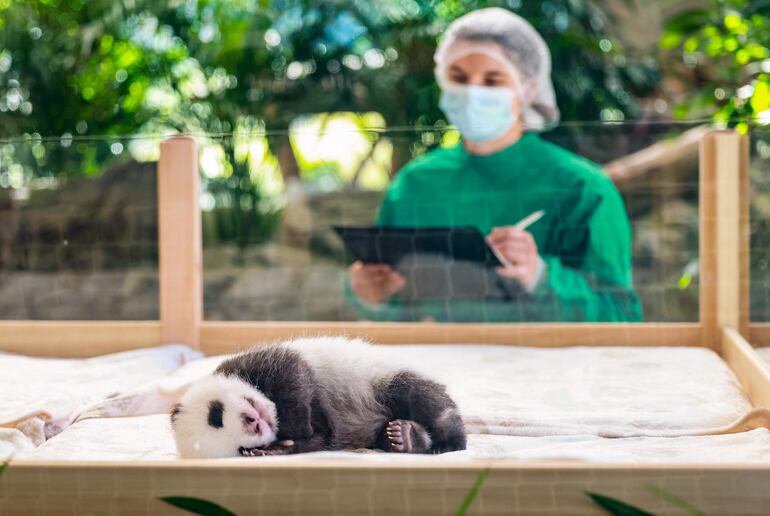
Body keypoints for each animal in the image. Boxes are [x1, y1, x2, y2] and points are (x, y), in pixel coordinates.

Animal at [170, 336, 464, 458]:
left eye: (215, 415)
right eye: (238, 447)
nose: (253, 423)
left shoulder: (256, 363)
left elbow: (293, 375)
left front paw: (299, 424)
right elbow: (322, 437)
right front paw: (278, 447)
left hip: (384, 379)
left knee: (423, 398)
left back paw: (448, 443)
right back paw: (403, 438)